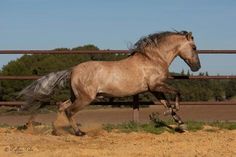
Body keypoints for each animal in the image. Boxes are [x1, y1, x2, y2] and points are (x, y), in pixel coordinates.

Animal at [19, 31, 202, 136]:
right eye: (194, 47)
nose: (197, 67)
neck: (153, 58)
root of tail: (73, 70)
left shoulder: (154, 89)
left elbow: (167, 102)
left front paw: (180, 124)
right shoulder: (156, 85)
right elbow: (177, 92)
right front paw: (174, 115)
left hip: (76, 96)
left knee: (62, 106)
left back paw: (57, 130)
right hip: (85, 98)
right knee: (69, 111)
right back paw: (79, 132)